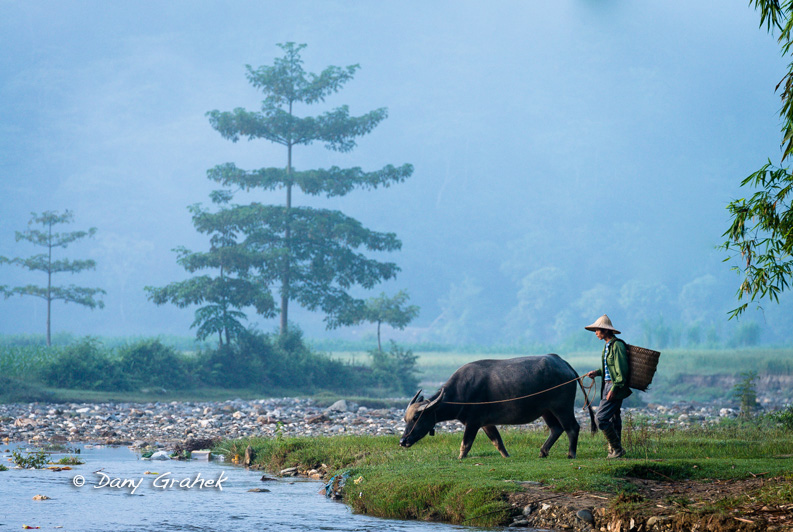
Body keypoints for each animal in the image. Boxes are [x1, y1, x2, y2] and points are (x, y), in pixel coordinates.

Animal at [396, 354, 592, 458]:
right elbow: (498, 442)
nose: (403, 441)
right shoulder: (486, 423)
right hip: (546, 410)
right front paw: (507, 456)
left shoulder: (473, 422)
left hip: (562, 406)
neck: (460, 394)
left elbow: (466, 444)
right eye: (405, 419)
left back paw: (571, 454)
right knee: (556, 429)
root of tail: (563, 363)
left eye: (416, 417)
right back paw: (543, 452)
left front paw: (460, 458)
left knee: (572, 427)